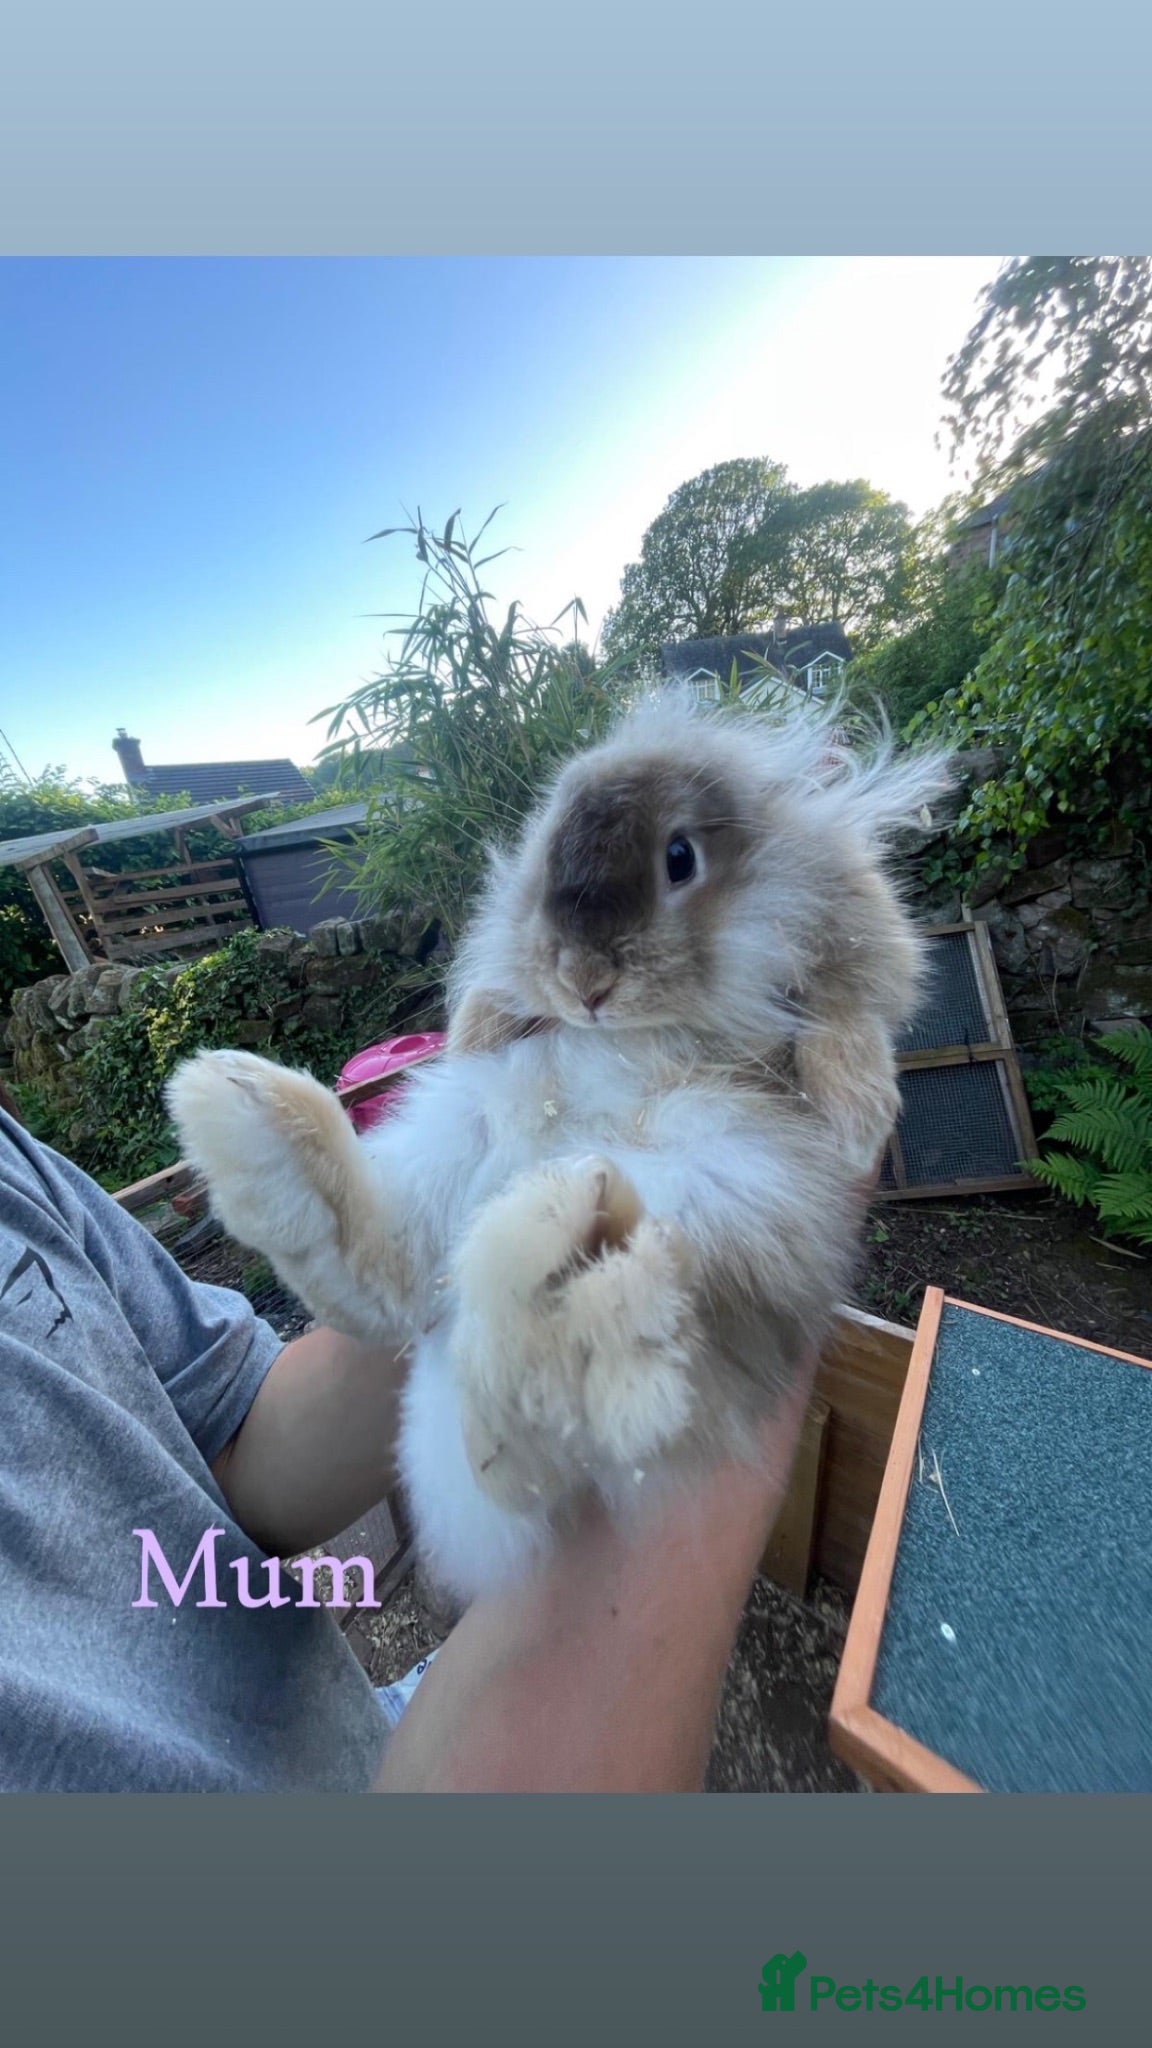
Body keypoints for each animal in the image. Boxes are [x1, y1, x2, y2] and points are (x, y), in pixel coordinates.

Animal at [167, 690, 951, 1604]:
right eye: (546, 862)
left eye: (679, 859)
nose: (585, 985)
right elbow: (495, 995)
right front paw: (472, 1026)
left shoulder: (853, 933)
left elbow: (851, 1015)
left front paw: (860, 1113)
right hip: (464, 1126)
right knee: (385, 1274)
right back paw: (244, 1114)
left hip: (732, 1192)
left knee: (561, 1414)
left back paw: (557, 1271)